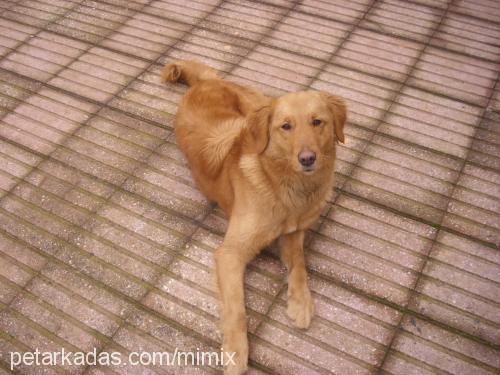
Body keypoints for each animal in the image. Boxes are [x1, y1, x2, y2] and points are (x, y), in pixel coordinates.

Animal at [162, 60, 346, 374]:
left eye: (317, 122)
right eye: (286, 126)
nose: (308, 158)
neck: (282, 186)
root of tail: (204, 83)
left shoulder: (293, 233)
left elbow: (300, 265)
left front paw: (301, 302)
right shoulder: (230, 254)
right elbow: (237, 308)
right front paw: (236, 352)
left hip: (252, 104)